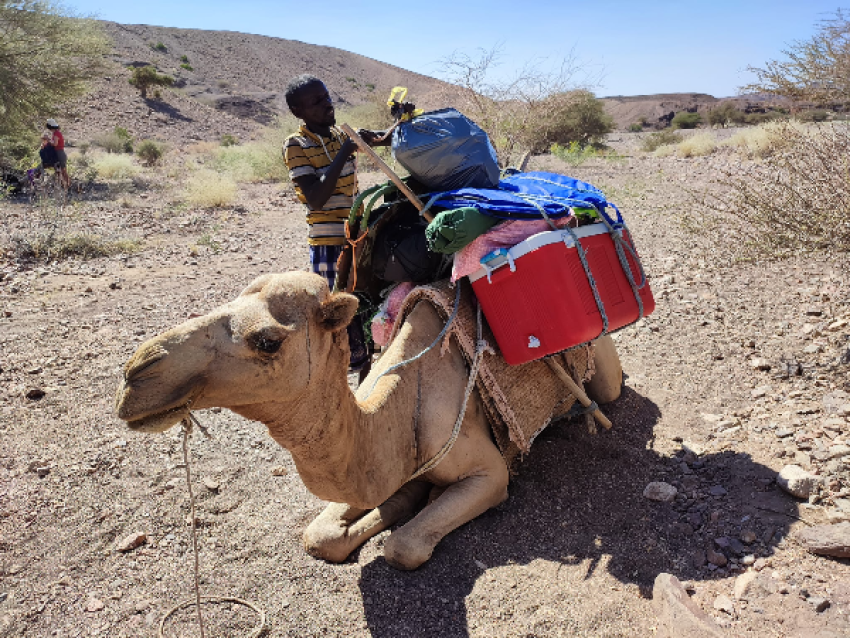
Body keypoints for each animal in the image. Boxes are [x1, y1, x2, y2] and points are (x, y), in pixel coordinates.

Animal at [114, 272, 624, 572]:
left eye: (267, 340)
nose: (136, 375)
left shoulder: (490, 474)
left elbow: (404, 548)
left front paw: (411, 508)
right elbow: (321, 536)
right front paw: (401, 502)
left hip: (604, 371)